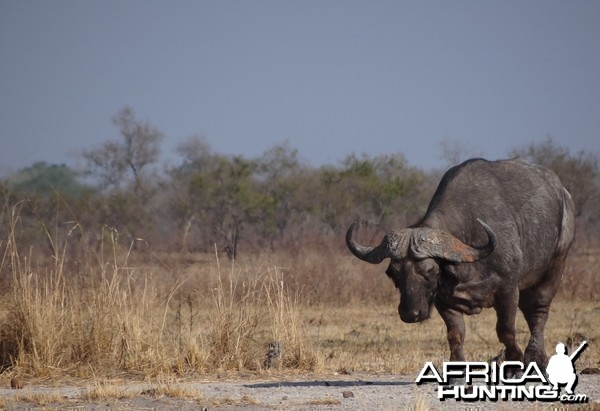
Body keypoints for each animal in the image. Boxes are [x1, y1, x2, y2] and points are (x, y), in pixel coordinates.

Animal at [346, 159, 576, 368]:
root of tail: (564, 194)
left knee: (539, 310)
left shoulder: (508, 289)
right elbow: (455, 334)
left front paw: (515, 363)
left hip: (555, 266)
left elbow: (506, 331)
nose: (411, 314)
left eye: (430, 270)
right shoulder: (443, 299)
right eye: (393, 273)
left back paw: (536, 357)